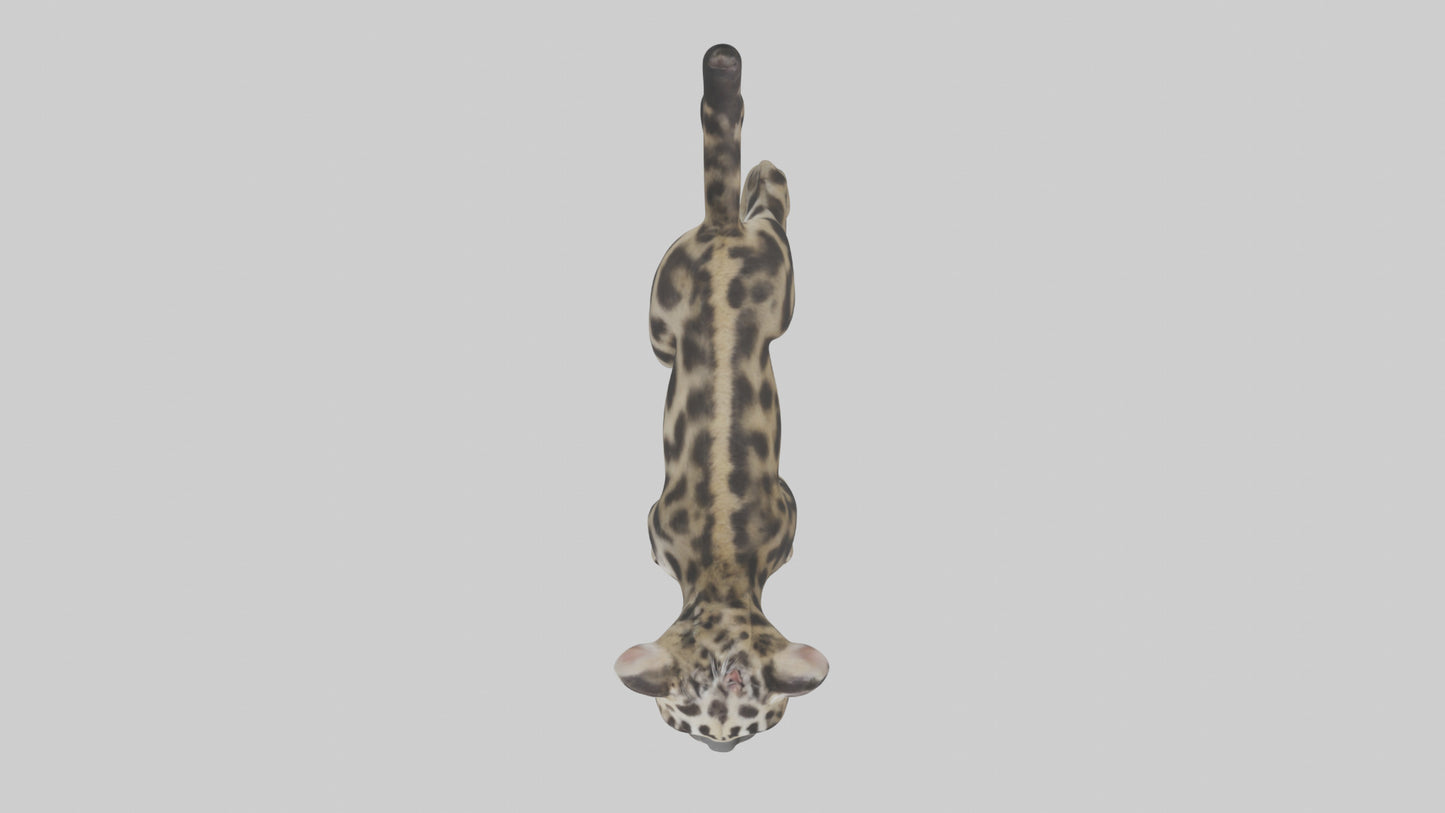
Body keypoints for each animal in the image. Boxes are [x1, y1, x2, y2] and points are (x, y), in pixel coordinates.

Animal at [615, 44, 828, 752]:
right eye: (692, 730)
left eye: (746, 733)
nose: (720, 751)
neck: (722, 574)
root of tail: (720, 230)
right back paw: (756, 174)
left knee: (765, 197)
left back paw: (760, 170)